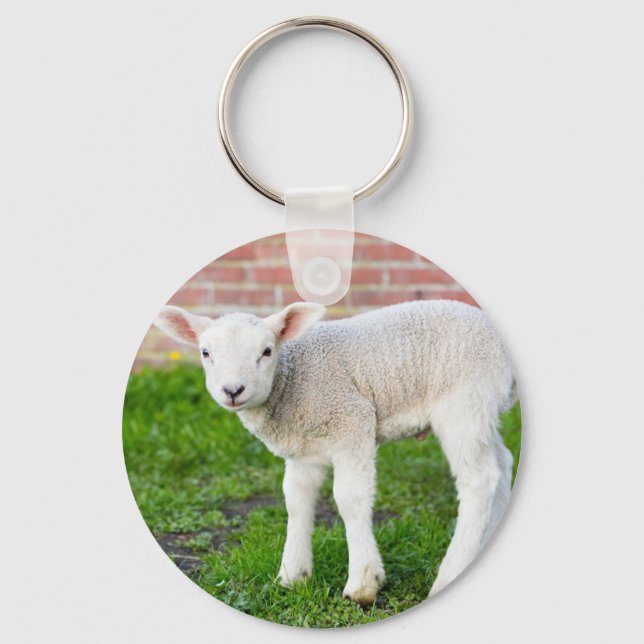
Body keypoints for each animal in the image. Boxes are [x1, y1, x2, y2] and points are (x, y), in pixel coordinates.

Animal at [154, 299, 517, 604]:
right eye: (205, 353)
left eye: (267, 351)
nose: (232, 390)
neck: (293, 380)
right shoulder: (302, 449)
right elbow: (296, 501)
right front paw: (292, 575)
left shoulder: (351, 423)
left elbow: (349, 499)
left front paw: (363, 584)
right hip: (483, 408)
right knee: (502, 466)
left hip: (464, 402)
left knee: (480, 480)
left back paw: (448, 575)